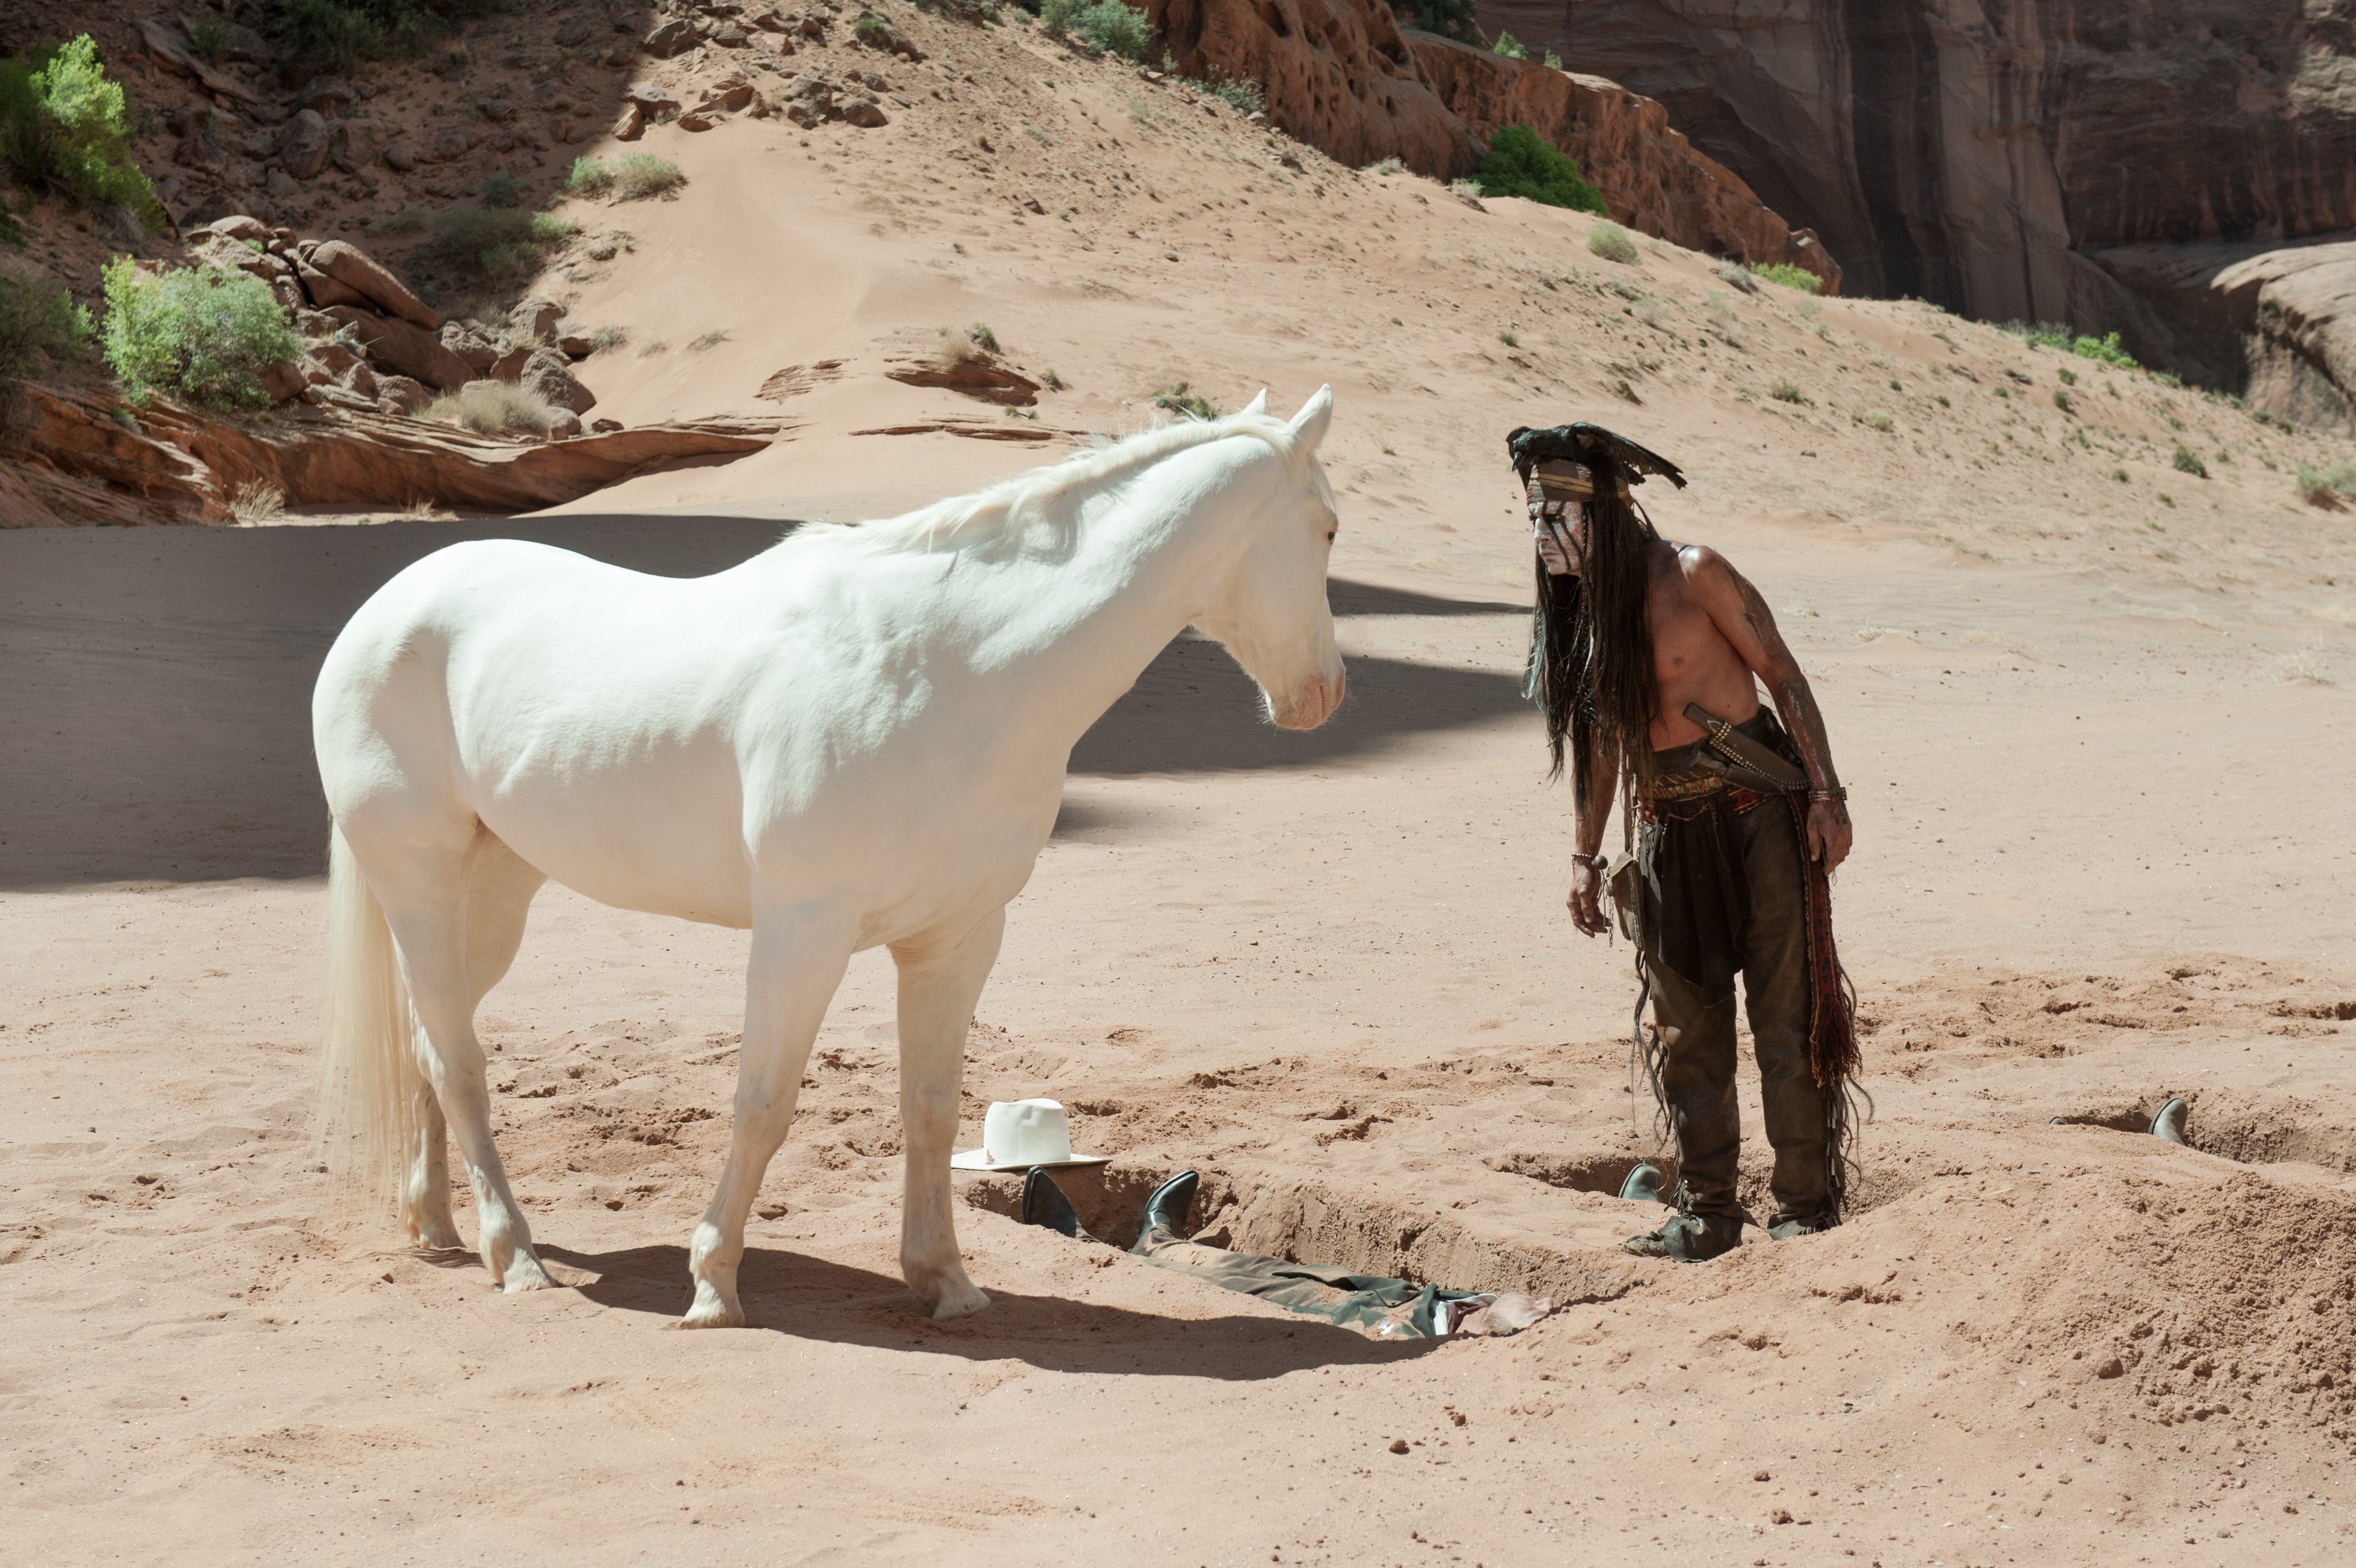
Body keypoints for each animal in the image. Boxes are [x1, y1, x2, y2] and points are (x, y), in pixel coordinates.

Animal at [312, 387, 1344, 1328]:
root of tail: (388, 607)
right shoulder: (802, 934)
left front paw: (945, 1280)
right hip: (420, 882)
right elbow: (764, 1102)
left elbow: (930, 1107)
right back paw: (515, 1254)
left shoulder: (957, 938)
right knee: (459, 1061)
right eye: (1329, 529)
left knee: (431, 1044)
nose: (1326, 695)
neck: (957, 671)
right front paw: (713, 1283)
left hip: (493, 895)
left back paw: (439, 1226)